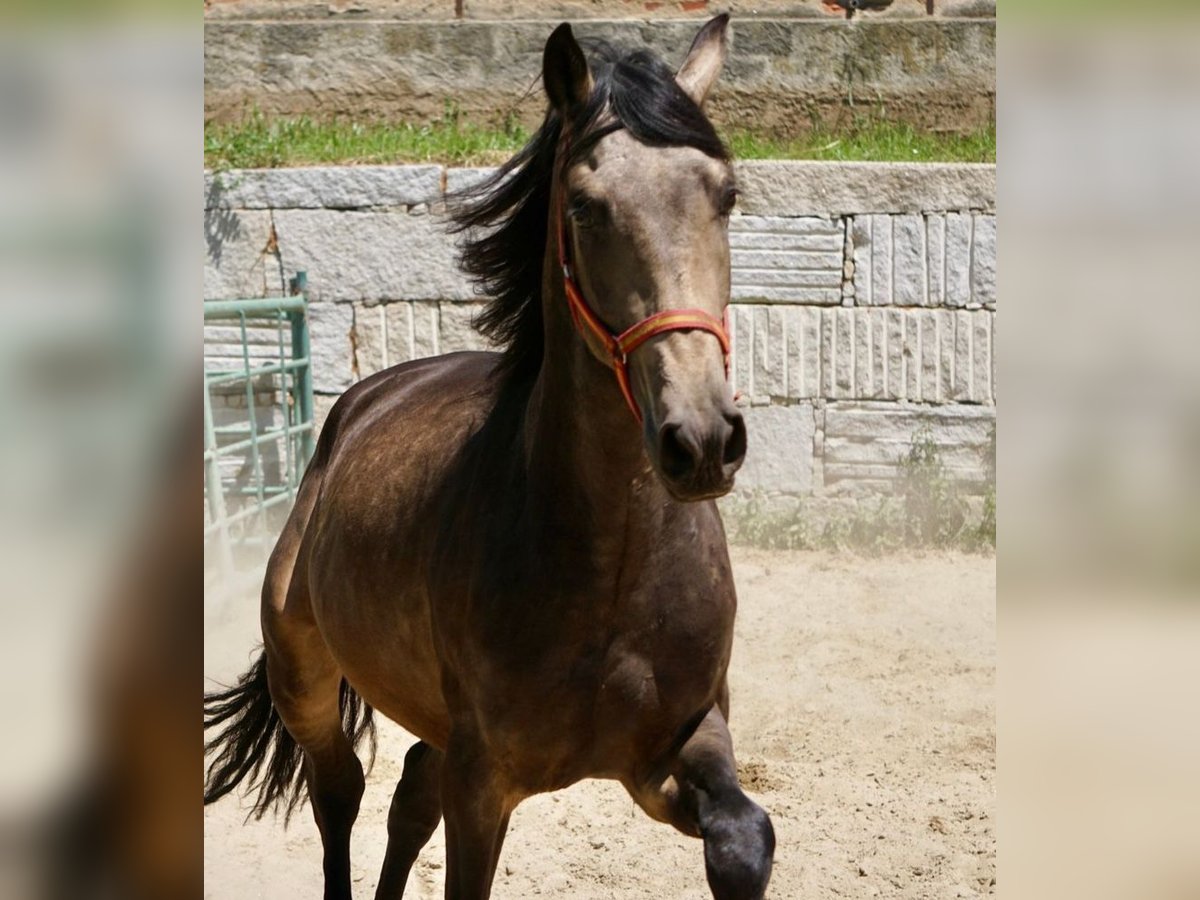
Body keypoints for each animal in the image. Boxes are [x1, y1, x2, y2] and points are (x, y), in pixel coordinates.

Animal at [204, 15, 777, 900]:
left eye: (726, 195)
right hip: (306, 678)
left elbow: (746, 840)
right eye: (585, 207)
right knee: (342, 792)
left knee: (408, 791)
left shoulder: (673, 747)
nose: (703, 441)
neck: (609, 567)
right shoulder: (485, 782)